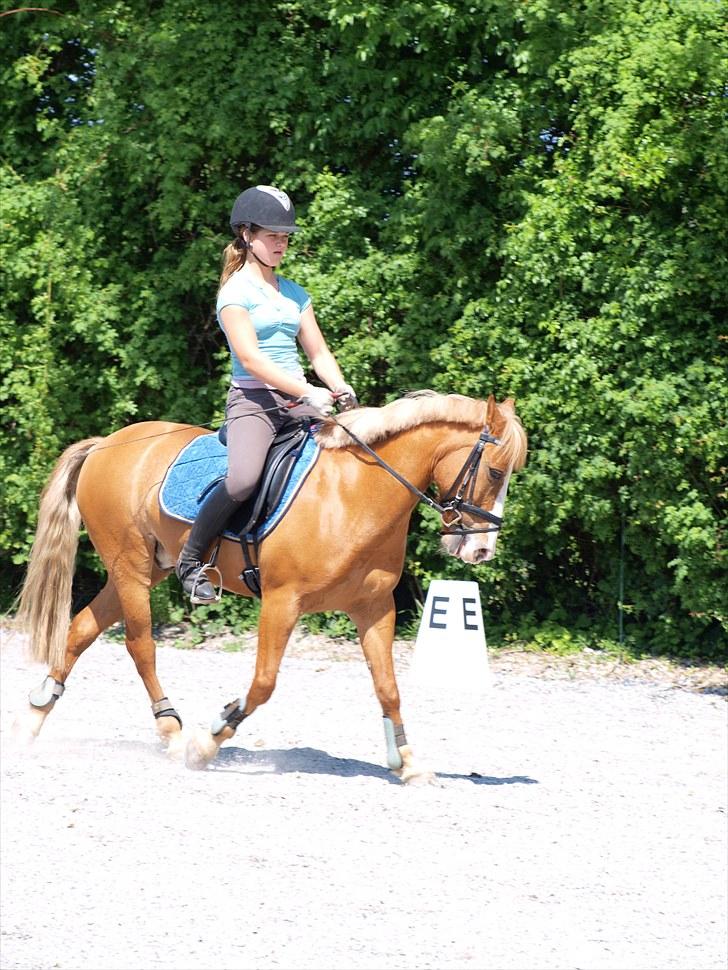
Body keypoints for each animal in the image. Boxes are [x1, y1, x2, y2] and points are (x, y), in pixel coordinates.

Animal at [13, 390, 527, 783]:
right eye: (495, 472)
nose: (481, 550)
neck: (355, 491)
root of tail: (107, 443)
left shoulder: (374, 609)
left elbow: (389, 688)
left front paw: (408, 762)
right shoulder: (282, 601)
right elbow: (262, 684)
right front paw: (207, 742)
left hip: (146, 568)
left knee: (80, 629)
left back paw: (34, 719)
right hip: (132, 570)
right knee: (140, 646)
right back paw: (173, 734)